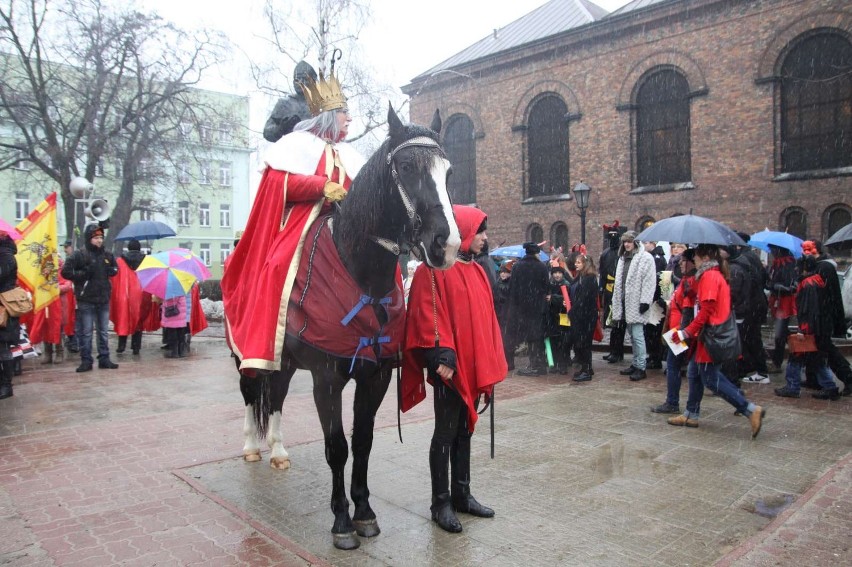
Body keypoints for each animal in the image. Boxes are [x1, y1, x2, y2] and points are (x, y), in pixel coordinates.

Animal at [240, 106, 460, 552]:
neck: (362, 278)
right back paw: (253, 445)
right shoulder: (327, 379)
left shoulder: (375, 376)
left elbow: (363, 442)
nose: (446, 245)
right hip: (250, 353)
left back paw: (278, 449)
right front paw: (342, 521)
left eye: (448, 172)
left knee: (276, 396)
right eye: (406, 167)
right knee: (251, 393)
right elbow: (337, 447)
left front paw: (364, 513)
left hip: (284, 360)